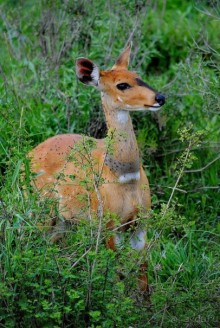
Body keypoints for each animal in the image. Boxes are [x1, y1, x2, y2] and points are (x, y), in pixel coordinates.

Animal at [29, 43, 167, 292]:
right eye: (122, 84)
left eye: (138, 75)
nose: (160, 98)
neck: (125, 175)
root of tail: (28, 155)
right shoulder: (109, 224)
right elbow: (117, 272)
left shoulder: (140, 221)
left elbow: (143, 275)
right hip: (41, 211)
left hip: (63, 222)